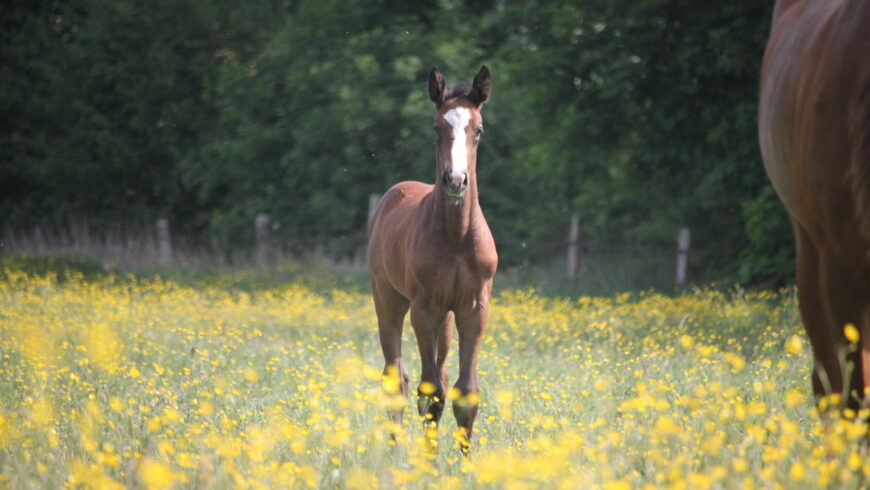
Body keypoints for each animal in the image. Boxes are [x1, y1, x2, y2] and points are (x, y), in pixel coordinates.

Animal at [366, 66, 498, 452]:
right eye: (437, 127)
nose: (455, 180)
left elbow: (464, 393)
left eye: (479, 129)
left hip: (447, 318)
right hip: (389, 300)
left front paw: (463, 461)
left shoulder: (474, 308)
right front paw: (427, 459)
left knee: (438, 370)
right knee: (397, 376)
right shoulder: (424, 308)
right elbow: (431, 393)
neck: (456, 237)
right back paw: (395, 448)